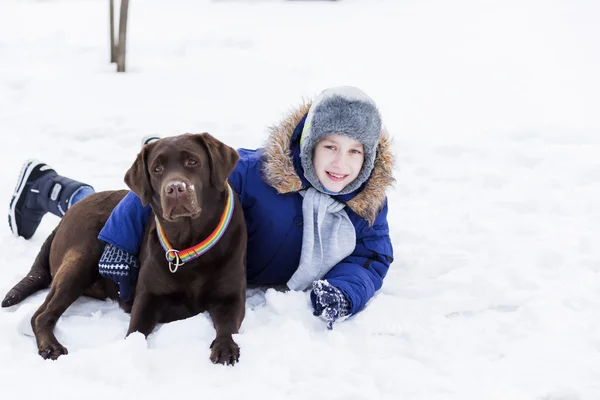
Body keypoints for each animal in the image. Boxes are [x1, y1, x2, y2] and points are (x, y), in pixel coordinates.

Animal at [1, 133, 246, 364]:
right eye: (157, 169)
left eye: (192, 162)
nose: (175, 188)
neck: (189, 243)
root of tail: (64, 219)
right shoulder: (147, 298)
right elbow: (135, 331)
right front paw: (130, 351)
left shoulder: (231, 297)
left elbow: (227, 326)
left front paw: (225, 348)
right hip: (82, 258)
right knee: (40, 315)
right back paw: (50, 347)